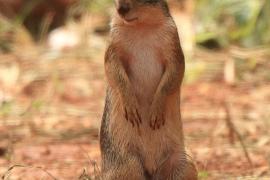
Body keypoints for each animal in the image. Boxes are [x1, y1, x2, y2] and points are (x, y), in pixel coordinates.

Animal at [99, 0, 196, 179]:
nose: (121, 9)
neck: (141, 27)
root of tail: (151, 171)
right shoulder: (113, 49)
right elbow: (115, 74)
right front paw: (131, 106)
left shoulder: (173, 48)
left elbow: (172, 77)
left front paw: (156, 110)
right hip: (127, 165)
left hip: (184, 166)